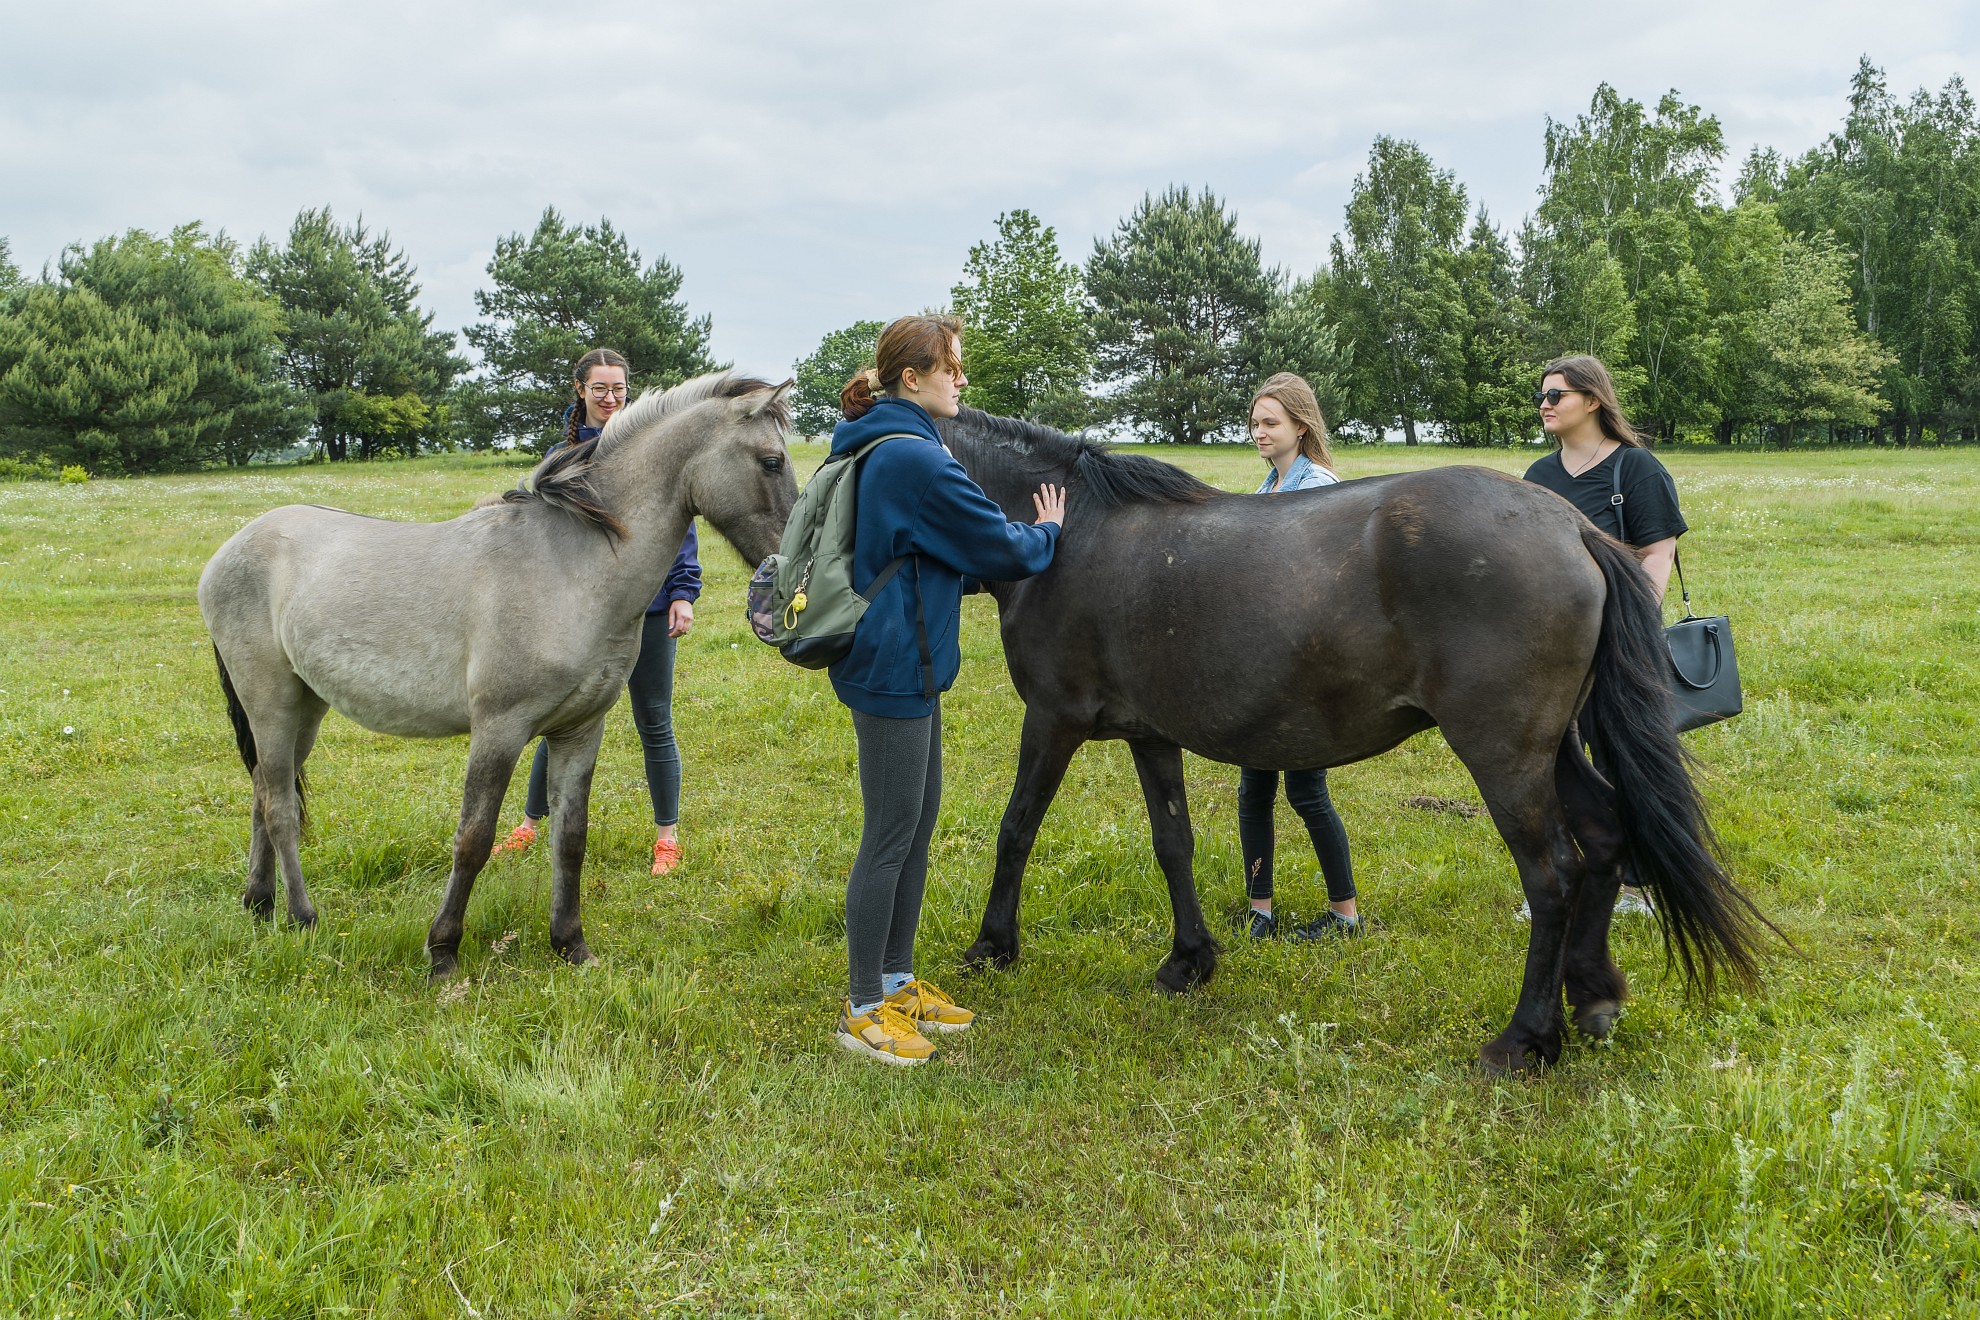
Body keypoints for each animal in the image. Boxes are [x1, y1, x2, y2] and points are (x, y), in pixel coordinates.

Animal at [198, 372, 796, 979]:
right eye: (772, 462)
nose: (786, 564)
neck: (571, 567)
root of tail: (233, 547)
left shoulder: (580, 731)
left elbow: (570, 837)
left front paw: (571, 945)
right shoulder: (499, 730)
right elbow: (473, 838)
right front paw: (443, 952)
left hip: (306, 707)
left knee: (264, 791)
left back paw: (259, 905)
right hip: (270, 703)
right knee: (280, 808)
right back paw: (302, 918)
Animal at [934, 408, 1773, 1073]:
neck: (1069, 534)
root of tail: (1570, 524)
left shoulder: (1053, 720)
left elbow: (1016, 829)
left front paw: (992, 948)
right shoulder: (1151, 734)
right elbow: (1173, 843)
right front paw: (1189, 961)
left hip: (1504, 754)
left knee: (1552, 875)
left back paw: (1526, 1038)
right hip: (1555, 745)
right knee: (1602, 840)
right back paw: (1593, 993)